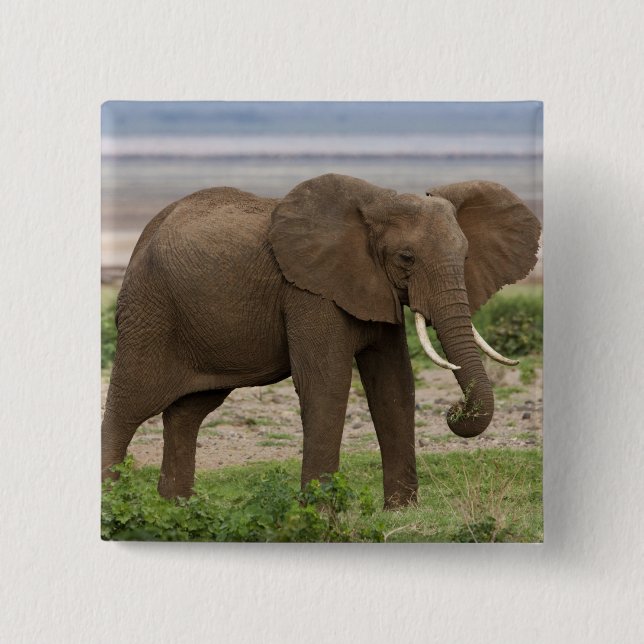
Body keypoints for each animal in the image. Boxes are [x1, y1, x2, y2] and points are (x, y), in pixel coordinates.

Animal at [102, 173, 540, 508]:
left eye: (465, 258)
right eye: (406, 258)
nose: (455, 410)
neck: (377, 204)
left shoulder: (371, 288)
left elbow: (394, 386)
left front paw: (401, 513)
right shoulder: (309, 292)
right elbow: (326, 383)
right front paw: (320, 514)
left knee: (187, 412)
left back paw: (176, 509)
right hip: (149, 312)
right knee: (128, 406)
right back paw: (113, 505)